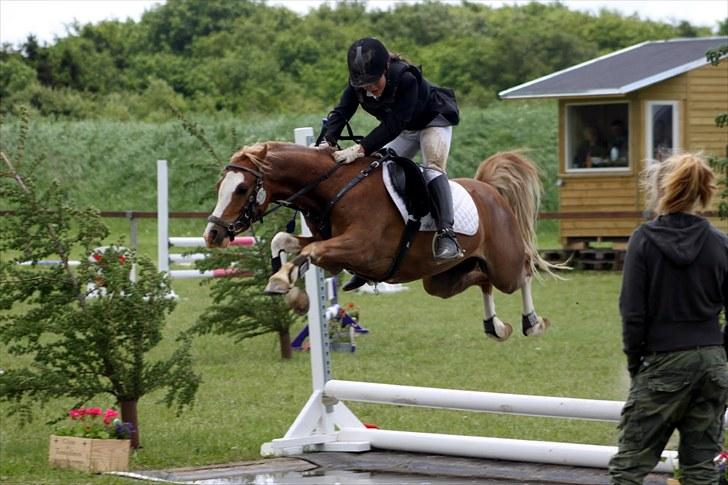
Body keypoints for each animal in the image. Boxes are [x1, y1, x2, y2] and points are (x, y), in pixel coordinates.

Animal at [203, 142, 560, 340]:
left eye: (241, 189)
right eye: (220, 185)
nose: (213, 234)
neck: (334, 189)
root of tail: (488, 190)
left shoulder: (360, 248)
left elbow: (311, 250)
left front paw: (281, 282)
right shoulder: (334, 256)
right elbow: (284, 241)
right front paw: (293, 294)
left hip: (504, 265)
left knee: (523, 272)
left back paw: (533, 324)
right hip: (441, 280)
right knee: (481, 279)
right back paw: (495, 327)